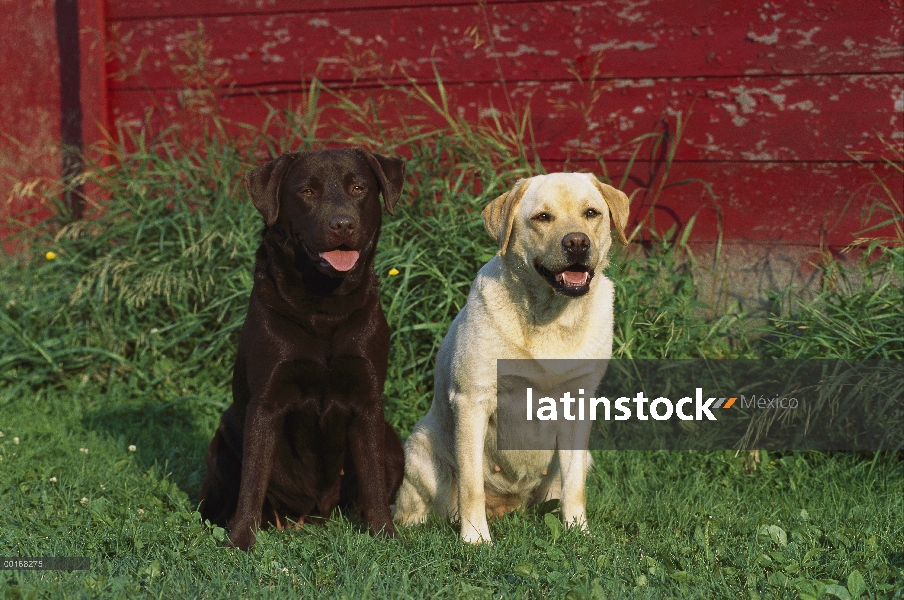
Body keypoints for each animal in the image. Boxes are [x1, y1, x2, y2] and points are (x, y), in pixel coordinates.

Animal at [203, 149, 408, 548]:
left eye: (358, 187)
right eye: (307, 192)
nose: (342, 224)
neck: (323, 307)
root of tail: (313, 514)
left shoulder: (368, 401)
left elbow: (373, 479)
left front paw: (384, 535)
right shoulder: (266, 403)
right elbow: (253, 480)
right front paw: (241, 540)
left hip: (393, 441)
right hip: (224, 438)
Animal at [396, 171, 628, 540]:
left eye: (591, 213)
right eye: (543, 217)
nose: (577, 243)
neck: (550, 316)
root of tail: (508, 507)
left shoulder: (579, 405)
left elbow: (575, 485)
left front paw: (578, 531)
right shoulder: (472, 400)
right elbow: (471, 485)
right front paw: (475, 539)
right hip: (419, 452)